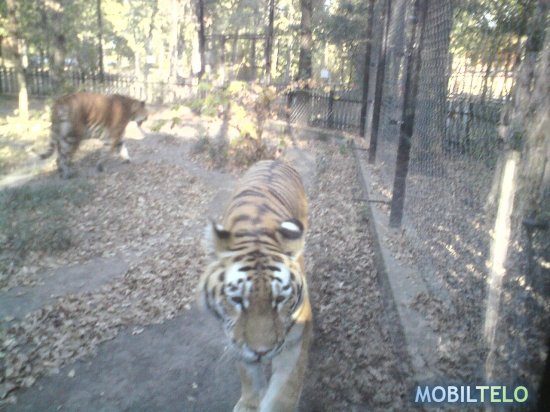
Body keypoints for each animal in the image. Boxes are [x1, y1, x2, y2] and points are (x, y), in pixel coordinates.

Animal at [199, 160, 312, 412]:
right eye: (237, 300)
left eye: (280, 300)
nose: (262, 352)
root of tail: (274, 160)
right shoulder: (235, 338)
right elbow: (248, 373)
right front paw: (249, 404)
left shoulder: (295, 340)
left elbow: (284, 393)